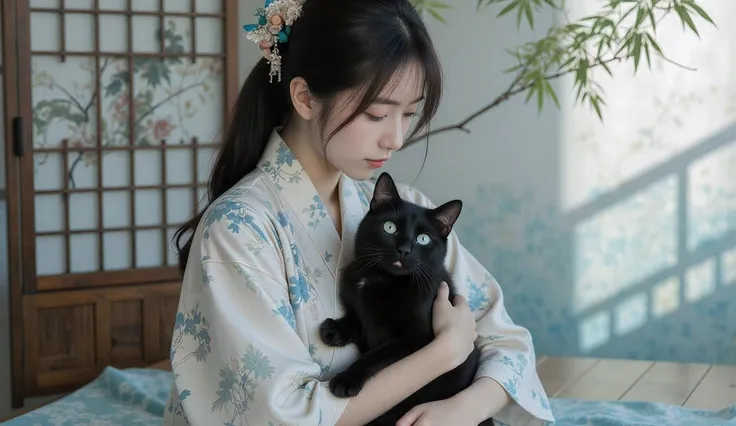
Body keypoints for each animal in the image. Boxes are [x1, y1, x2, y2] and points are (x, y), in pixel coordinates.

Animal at [320, 172, 492, 426]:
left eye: (423, 239)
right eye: (389, 227)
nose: (403, 249)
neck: (382, 279)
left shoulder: (418, 338)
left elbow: (377, 355)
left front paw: (346, 379)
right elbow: (357, 315)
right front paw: (336, 329)